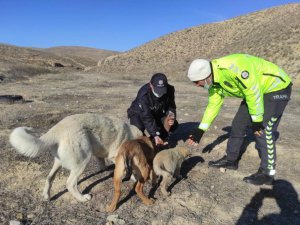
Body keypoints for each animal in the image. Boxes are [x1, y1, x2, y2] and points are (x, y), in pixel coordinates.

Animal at [8, 113, 142, 201]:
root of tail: (57, 129)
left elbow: (102, 161)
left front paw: (104, 168)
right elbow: (129, 168)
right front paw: (133, 177)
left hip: (58, 162)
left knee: (49, 178)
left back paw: (46, 196)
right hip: (82, 162)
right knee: (70, 184)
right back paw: (82, 198)